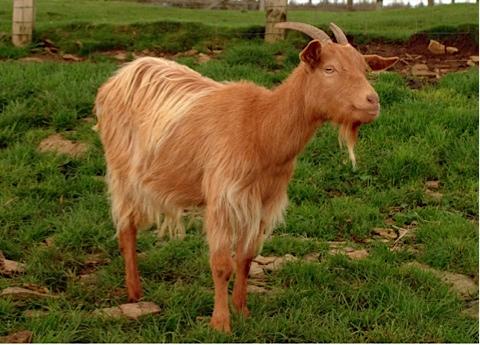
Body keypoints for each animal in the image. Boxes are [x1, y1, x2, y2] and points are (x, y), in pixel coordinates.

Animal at [94, 22, 398, 334]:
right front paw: (221, 323)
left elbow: (246, 258)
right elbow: (221, 264)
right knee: (126, 227)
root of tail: (124, 73)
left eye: (364, 68)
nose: (372, 101)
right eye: (329, 69)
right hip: (121, 171)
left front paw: (242, 310)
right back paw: (134, 292)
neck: (260, 126)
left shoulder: (264, 199)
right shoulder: (222, 198)